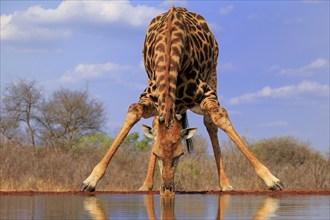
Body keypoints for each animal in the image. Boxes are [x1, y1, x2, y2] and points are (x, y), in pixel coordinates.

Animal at [80, 5, 284, 195]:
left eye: (180, 154)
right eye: (156, 153)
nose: (167, 188)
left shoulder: (206, 95)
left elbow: (220, 117)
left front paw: (271, 180)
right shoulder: (149, 97)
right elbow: (133, 112)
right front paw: (90, 180)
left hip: (213, 74)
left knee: (209, 122)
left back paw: (225, 184)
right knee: (155, 122)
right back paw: (146, 185)